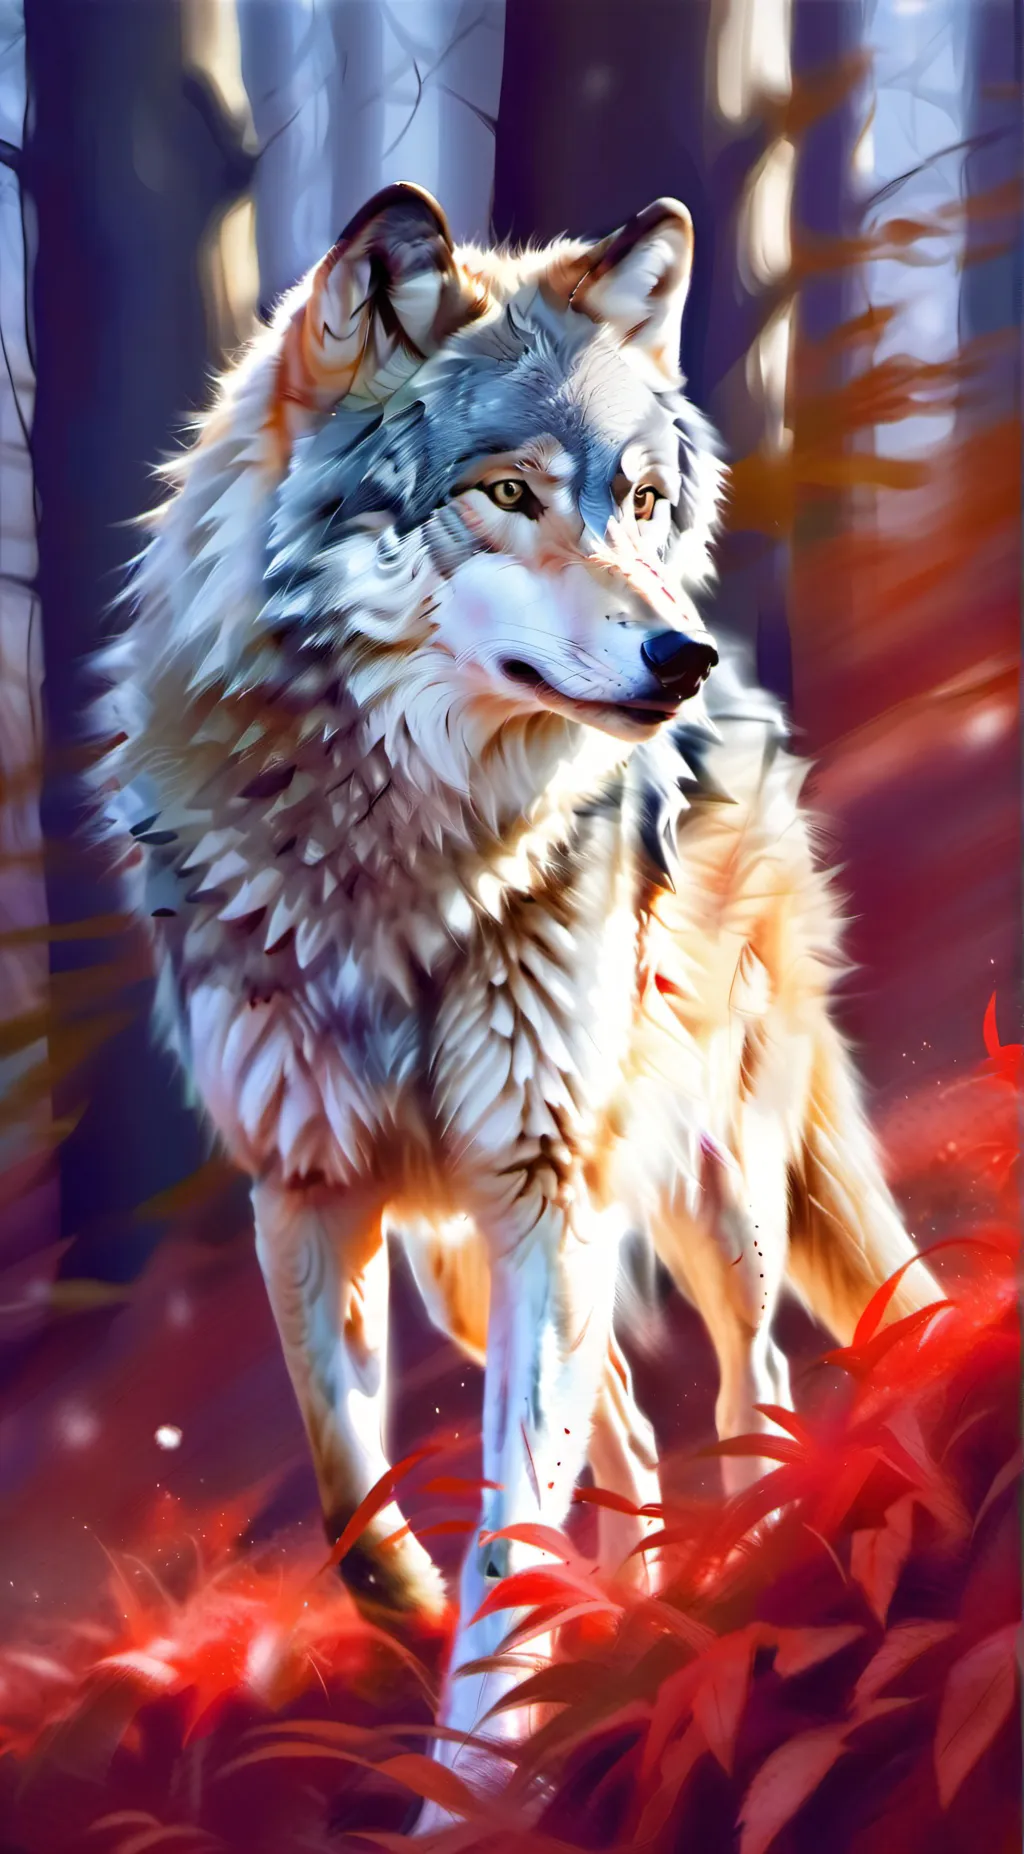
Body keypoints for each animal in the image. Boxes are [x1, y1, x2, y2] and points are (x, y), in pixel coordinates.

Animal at [96, 183, 938, 1787]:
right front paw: (433, 1639)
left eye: (644, 502)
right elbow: (352, 1503)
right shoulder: (307, 1192)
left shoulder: (549, 1181)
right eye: (507, 494)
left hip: (703, 1185)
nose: (681, 653)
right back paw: (630, 1617)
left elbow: (508, 1529)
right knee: (629, 1428)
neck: (395, 862)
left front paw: (475, 1773)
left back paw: (741, 1573)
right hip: (478, 1261)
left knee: (748, 1387)